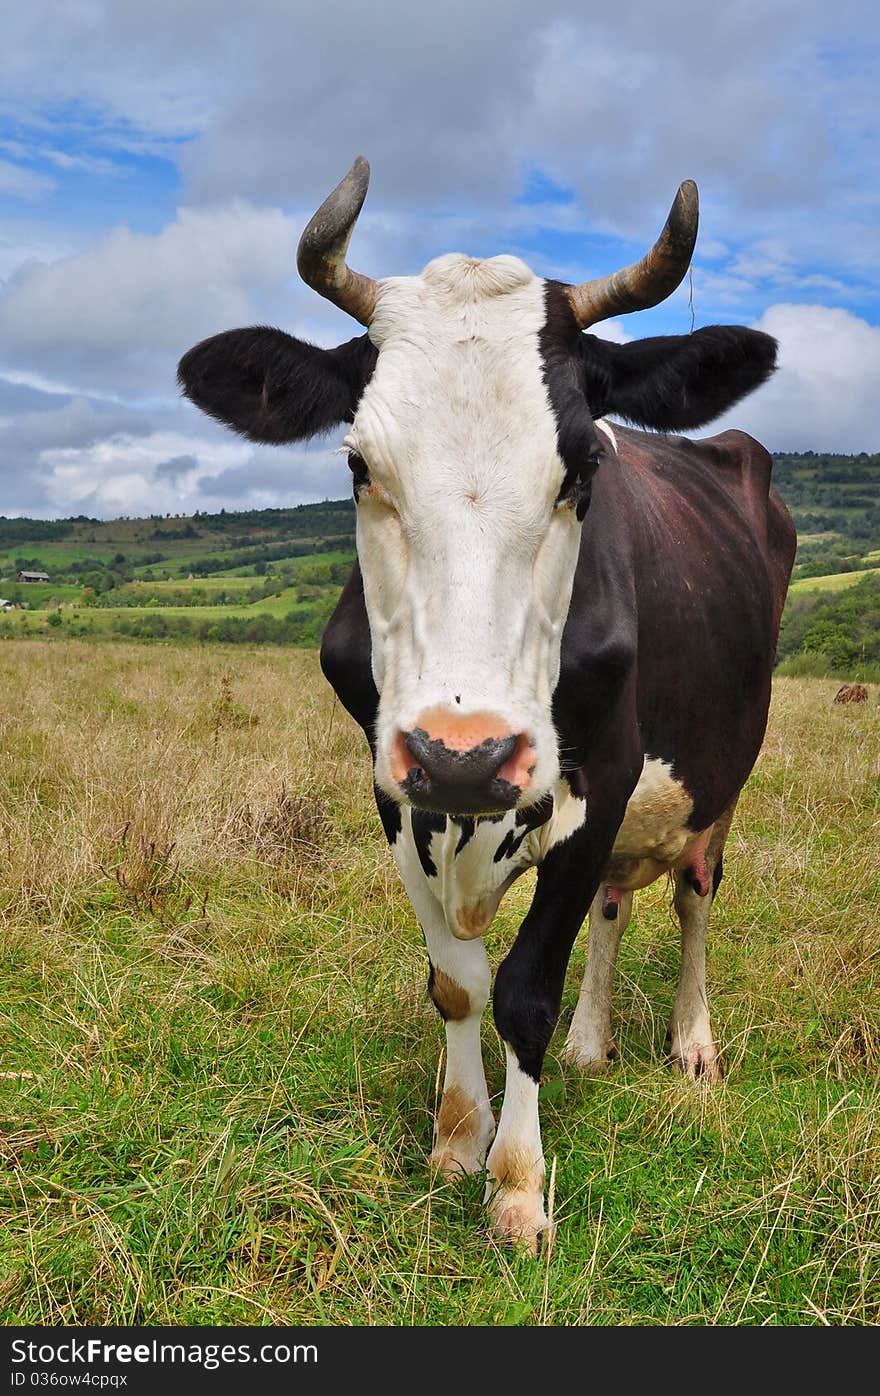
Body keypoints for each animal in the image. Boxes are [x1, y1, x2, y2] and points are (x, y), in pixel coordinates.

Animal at [181, 158, 798, 1250]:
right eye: (358, 464)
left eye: (584, 464)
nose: (464, 754)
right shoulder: (396, 789)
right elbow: (455, 981)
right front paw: (457, 1137)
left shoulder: (602, 776)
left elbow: (522, 990)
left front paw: (516, 1185)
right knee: (615, 903)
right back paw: (594, 1043)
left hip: (720, 773)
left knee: (692, 889)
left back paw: (691, 1045)